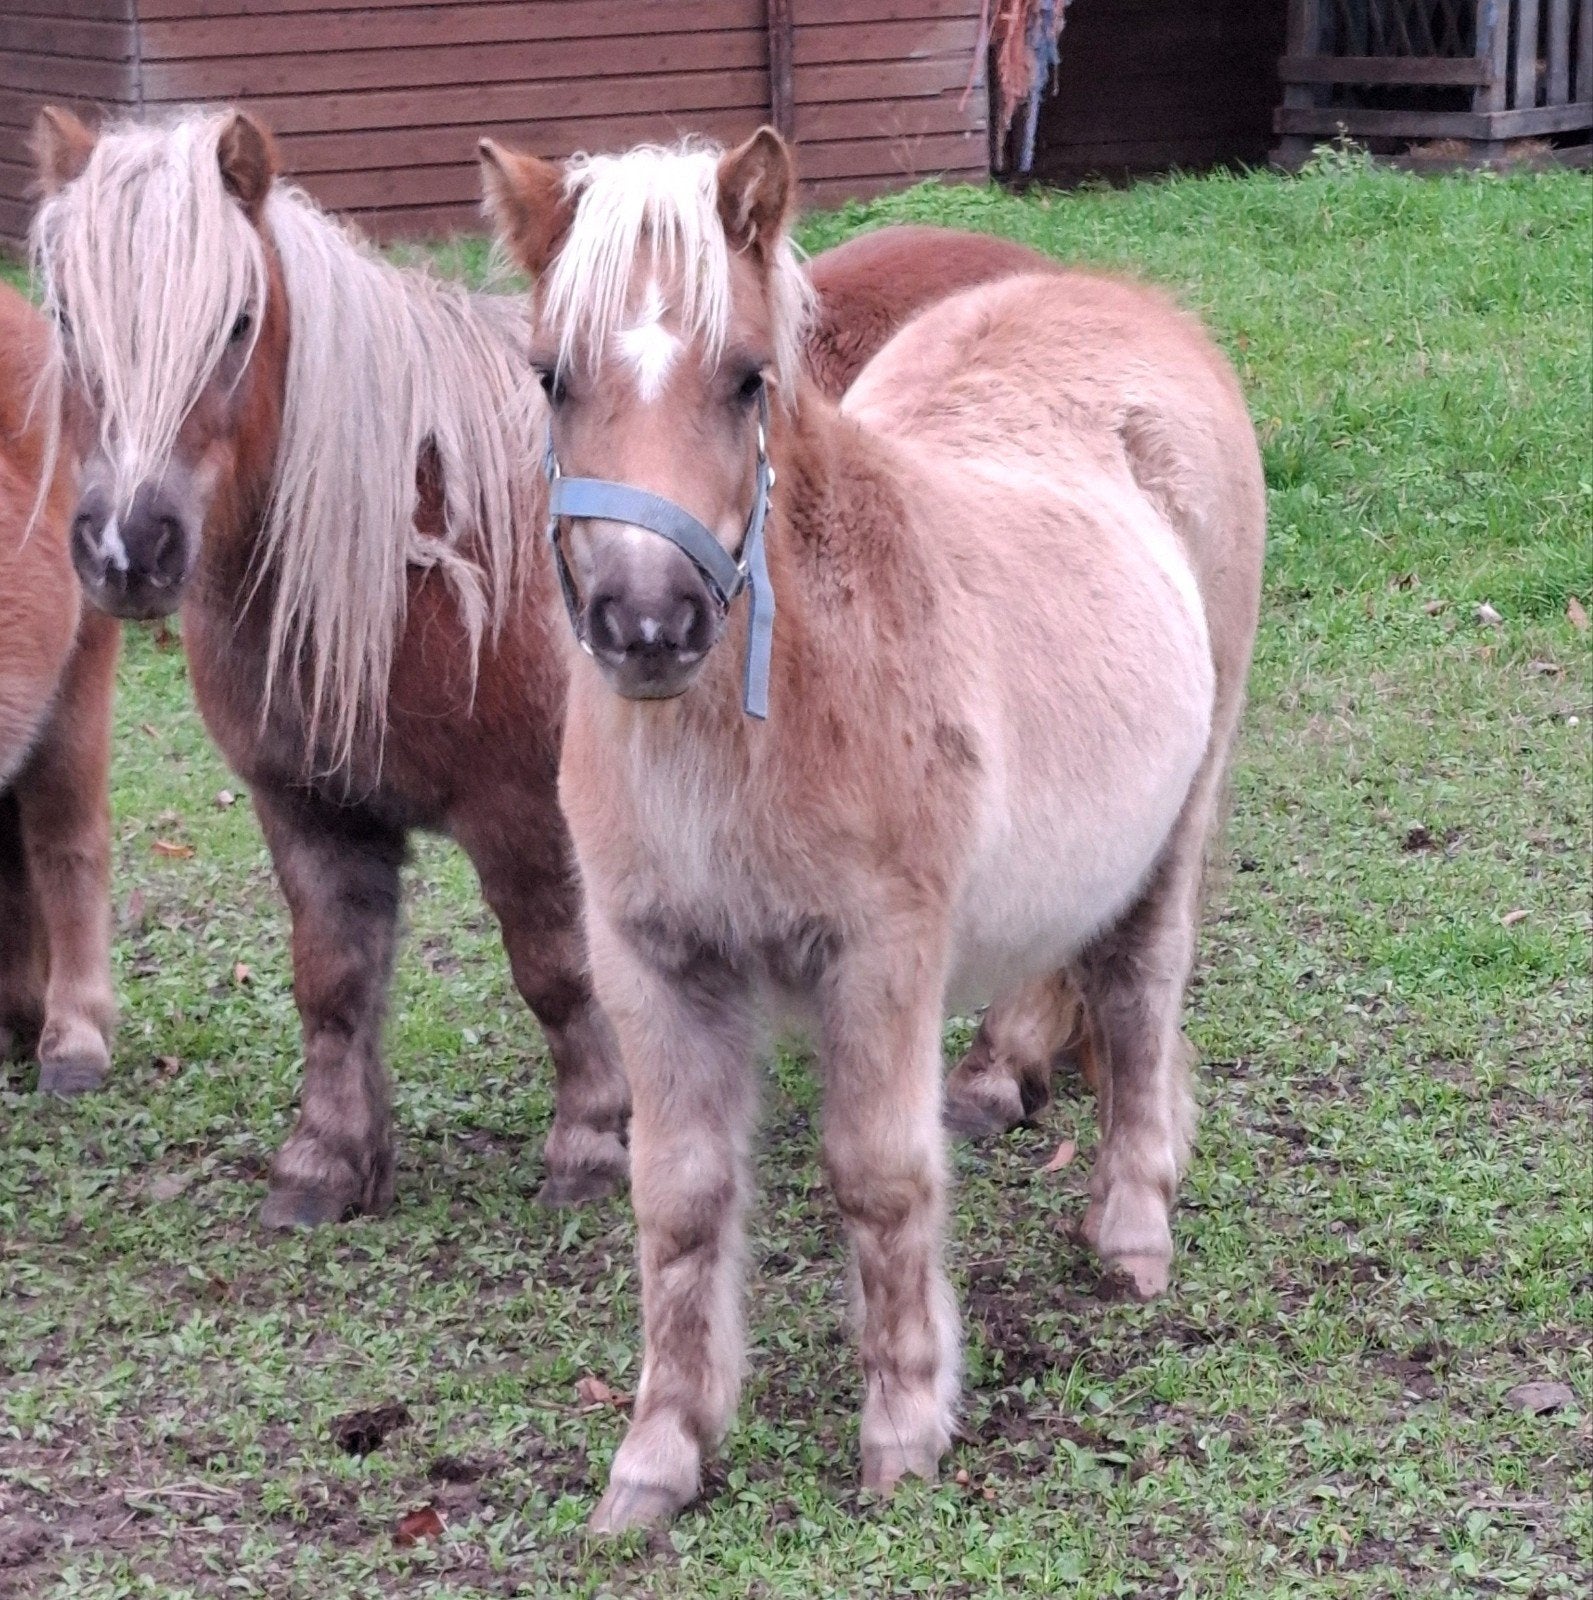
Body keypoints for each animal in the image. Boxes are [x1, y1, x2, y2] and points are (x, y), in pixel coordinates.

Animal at [29, 104, 1069, 1227]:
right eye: (66, 320)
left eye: (236, 323)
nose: (129, 548)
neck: (418, 554)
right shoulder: (306, 809)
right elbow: (333, 985)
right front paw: (326, 1160)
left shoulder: (520, 814)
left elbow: (553, 975)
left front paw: (590, 1137)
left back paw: (997, 1071)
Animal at [479, 129, 1264, 1528]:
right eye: (551, 377)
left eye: (747, 378)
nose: (646, 623)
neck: (758, 726)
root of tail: (1128, 306)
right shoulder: (652, 961)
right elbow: (678, 1199)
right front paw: (660, 1451)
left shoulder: (883, 954)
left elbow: (880, 1176)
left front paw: (903, 1426)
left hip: (1182, 807)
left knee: (1141, 988)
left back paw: (1131, 1227)